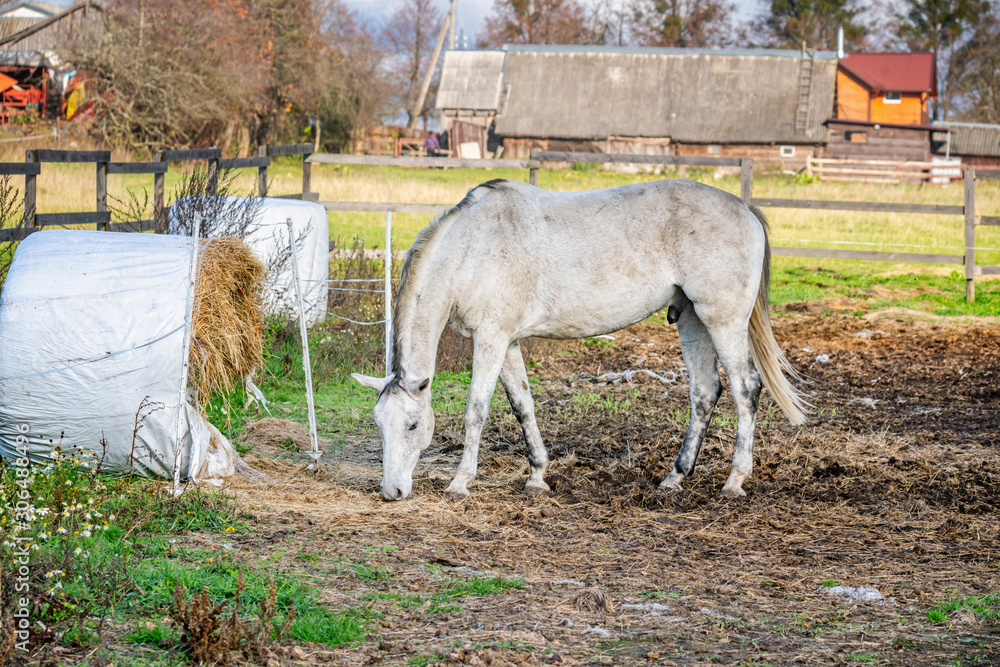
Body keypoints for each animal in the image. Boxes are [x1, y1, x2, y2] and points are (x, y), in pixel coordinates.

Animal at [352, 178, 808, 501]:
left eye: (413, 425)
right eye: (378, 424)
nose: (391, 492)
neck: (472, 247)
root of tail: (745, 209)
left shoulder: (491, 339)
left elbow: (475, 411)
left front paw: (461, 482)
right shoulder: (508, 342)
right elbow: (522, 405)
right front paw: (537, 476)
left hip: (723, 320)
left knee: (746, 389)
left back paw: (734, 481)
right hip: (693, 319)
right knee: (705, 391)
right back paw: (674, 477)